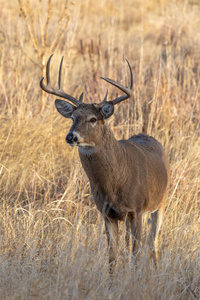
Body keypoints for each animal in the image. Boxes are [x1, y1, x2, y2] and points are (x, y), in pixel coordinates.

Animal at [39, 54, 170, 272]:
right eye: (73, 117)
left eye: (93, 119)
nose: (71, 137)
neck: (115, 182)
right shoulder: (106, 212)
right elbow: (113, 257)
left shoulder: (137, 209)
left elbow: (136, 253)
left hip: (160, 203)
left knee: (153, 244)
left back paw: (157, 272)